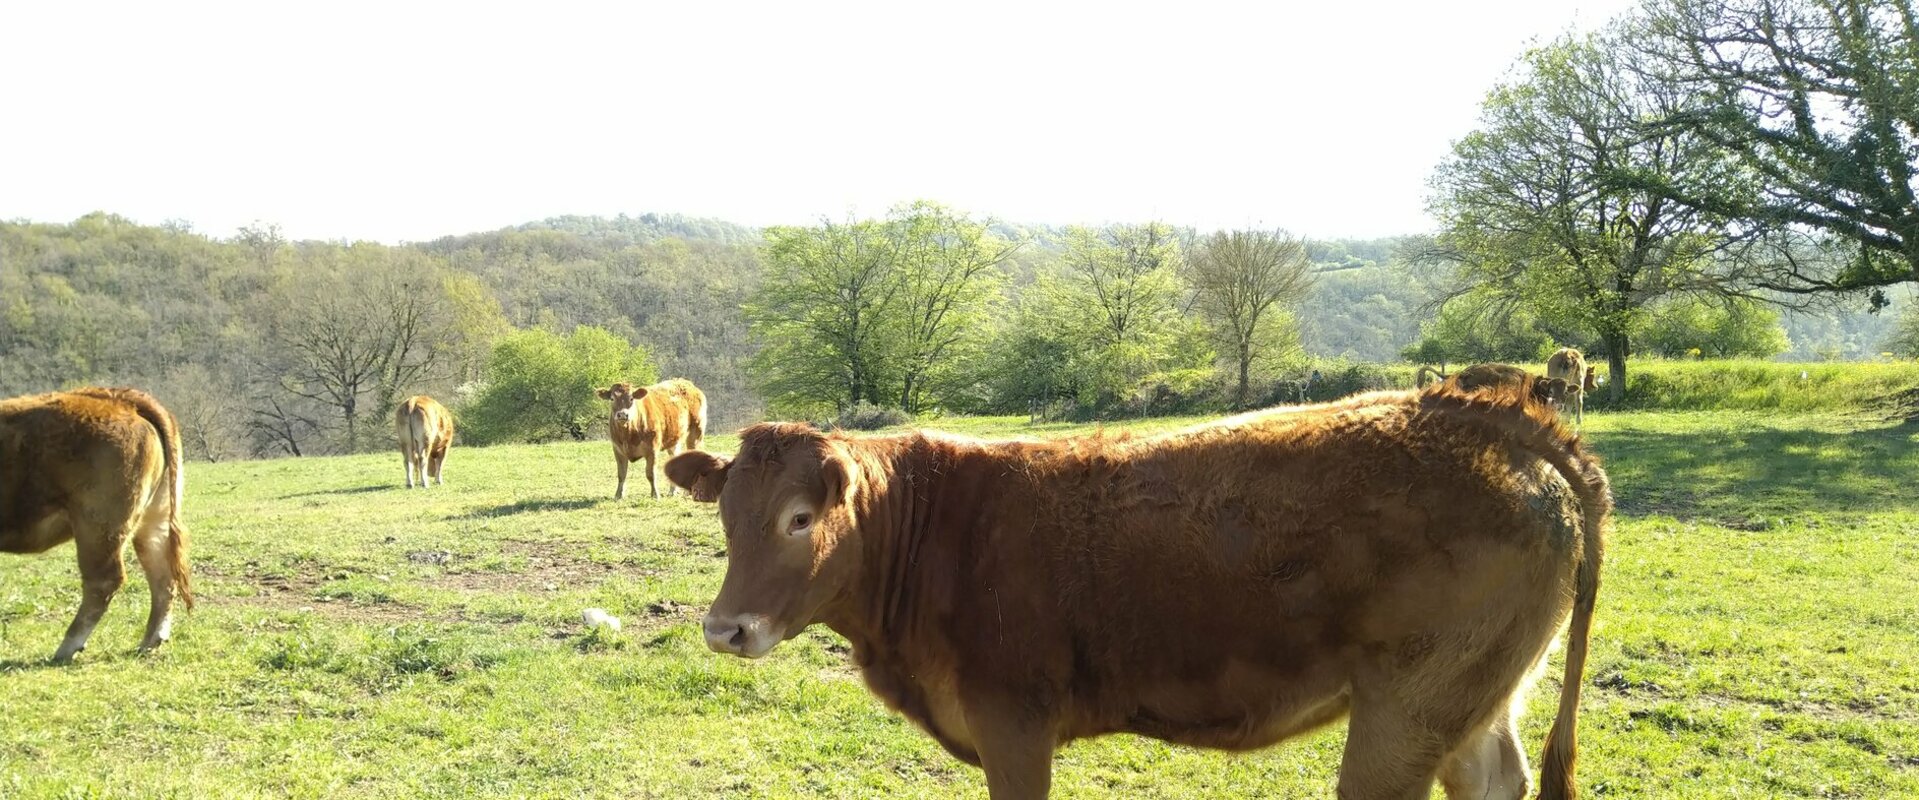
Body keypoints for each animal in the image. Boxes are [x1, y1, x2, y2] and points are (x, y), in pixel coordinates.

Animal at [0, 387, 194, 659]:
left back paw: (68, 646)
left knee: (104, 580)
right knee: (162, 576)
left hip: (98, 525)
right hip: (154, 519)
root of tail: (120, 398)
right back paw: (150, 641)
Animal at [667, 372, 1611, 798]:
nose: (724, 630)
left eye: (799, 518)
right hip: (1470, 702)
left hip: (1408, 712)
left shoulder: (1013, 725)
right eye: (727, 517)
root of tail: (1499, 419)